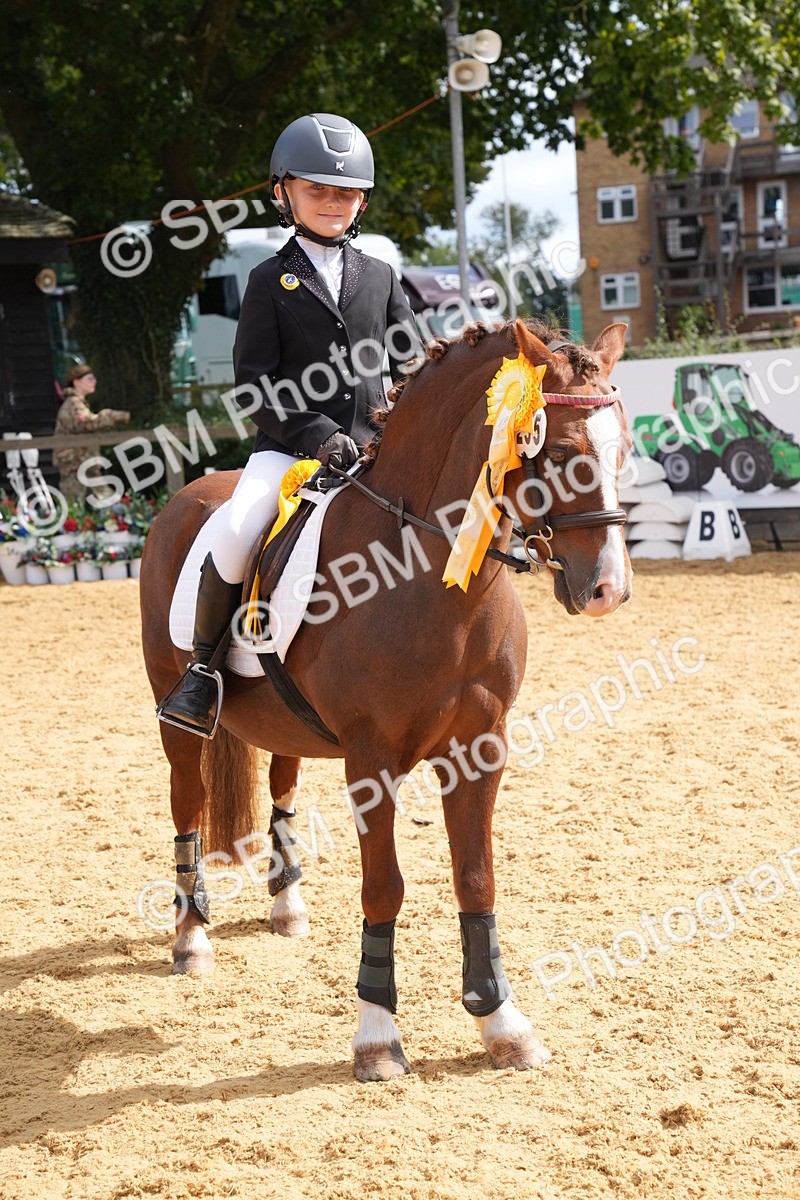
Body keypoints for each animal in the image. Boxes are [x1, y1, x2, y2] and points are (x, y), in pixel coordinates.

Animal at [139, 317, 633, 1081]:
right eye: (555, 451)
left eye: (622, 448)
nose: (608, 588)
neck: (430, 578)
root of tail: (186, 498)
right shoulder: (371, 759)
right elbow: (385, 886)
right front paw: (376, 1037)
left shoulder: (480, 747)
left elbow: (476, 877)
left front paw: (501, 1023)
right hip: (178, 722)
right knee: (186, 810)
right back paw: (191, 937)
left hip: (286, 727)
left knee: (280, 787)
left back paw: (287, 905)